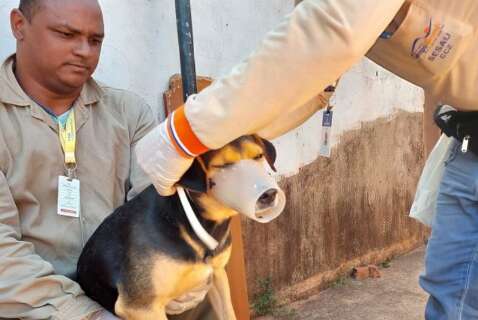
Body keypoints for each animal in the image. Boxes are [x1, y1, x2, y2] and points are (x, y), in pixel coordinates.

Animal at [76, 135, 280, 320]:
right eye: (224, 166)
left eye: (259, 156)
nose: (269, 194)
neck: (190, 220)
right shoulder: (141, 307)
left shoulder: (218, 275)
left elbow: (228, 314)